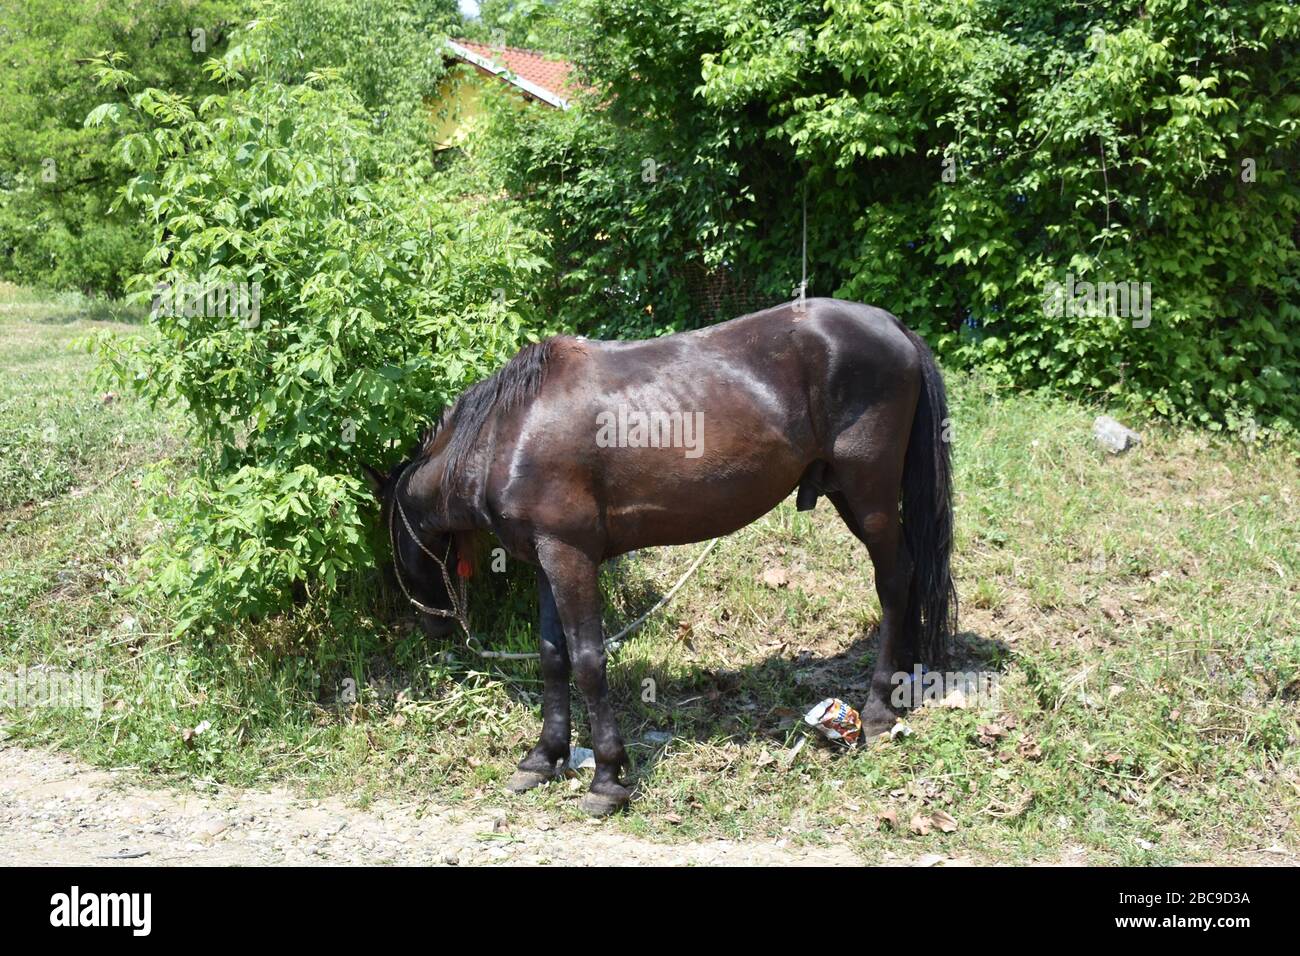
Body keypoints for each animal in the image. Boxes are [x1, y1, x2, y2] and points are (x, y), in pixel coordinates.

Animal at [365, 298, 957, 816]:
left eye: (392, 542)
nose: (433, 624)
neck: (510, 433)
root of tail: (892, 326)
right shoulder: (546, 561)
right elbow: (553, 656)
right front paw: (543, 757)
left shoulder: (571, 558)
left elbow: (587, 661)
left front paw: (608, 777)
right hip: (848, 494)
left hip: (869, 495)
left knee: (894, 582)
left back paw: (877, 709)